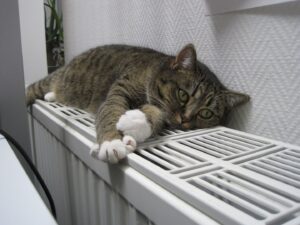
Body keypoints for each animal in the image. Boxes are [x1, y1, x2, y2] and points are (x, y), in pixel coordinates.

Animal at [26, 44, 251, 163]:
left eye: (206, 113)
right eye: (183, 95)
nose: (185, 120)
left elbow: (157, 114)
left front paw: (137, 123)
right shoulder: (120, 89)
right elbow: (111, 110)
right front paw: (111, 143)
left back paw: (51, 96)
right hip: (54, 80)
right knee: (32, 87)